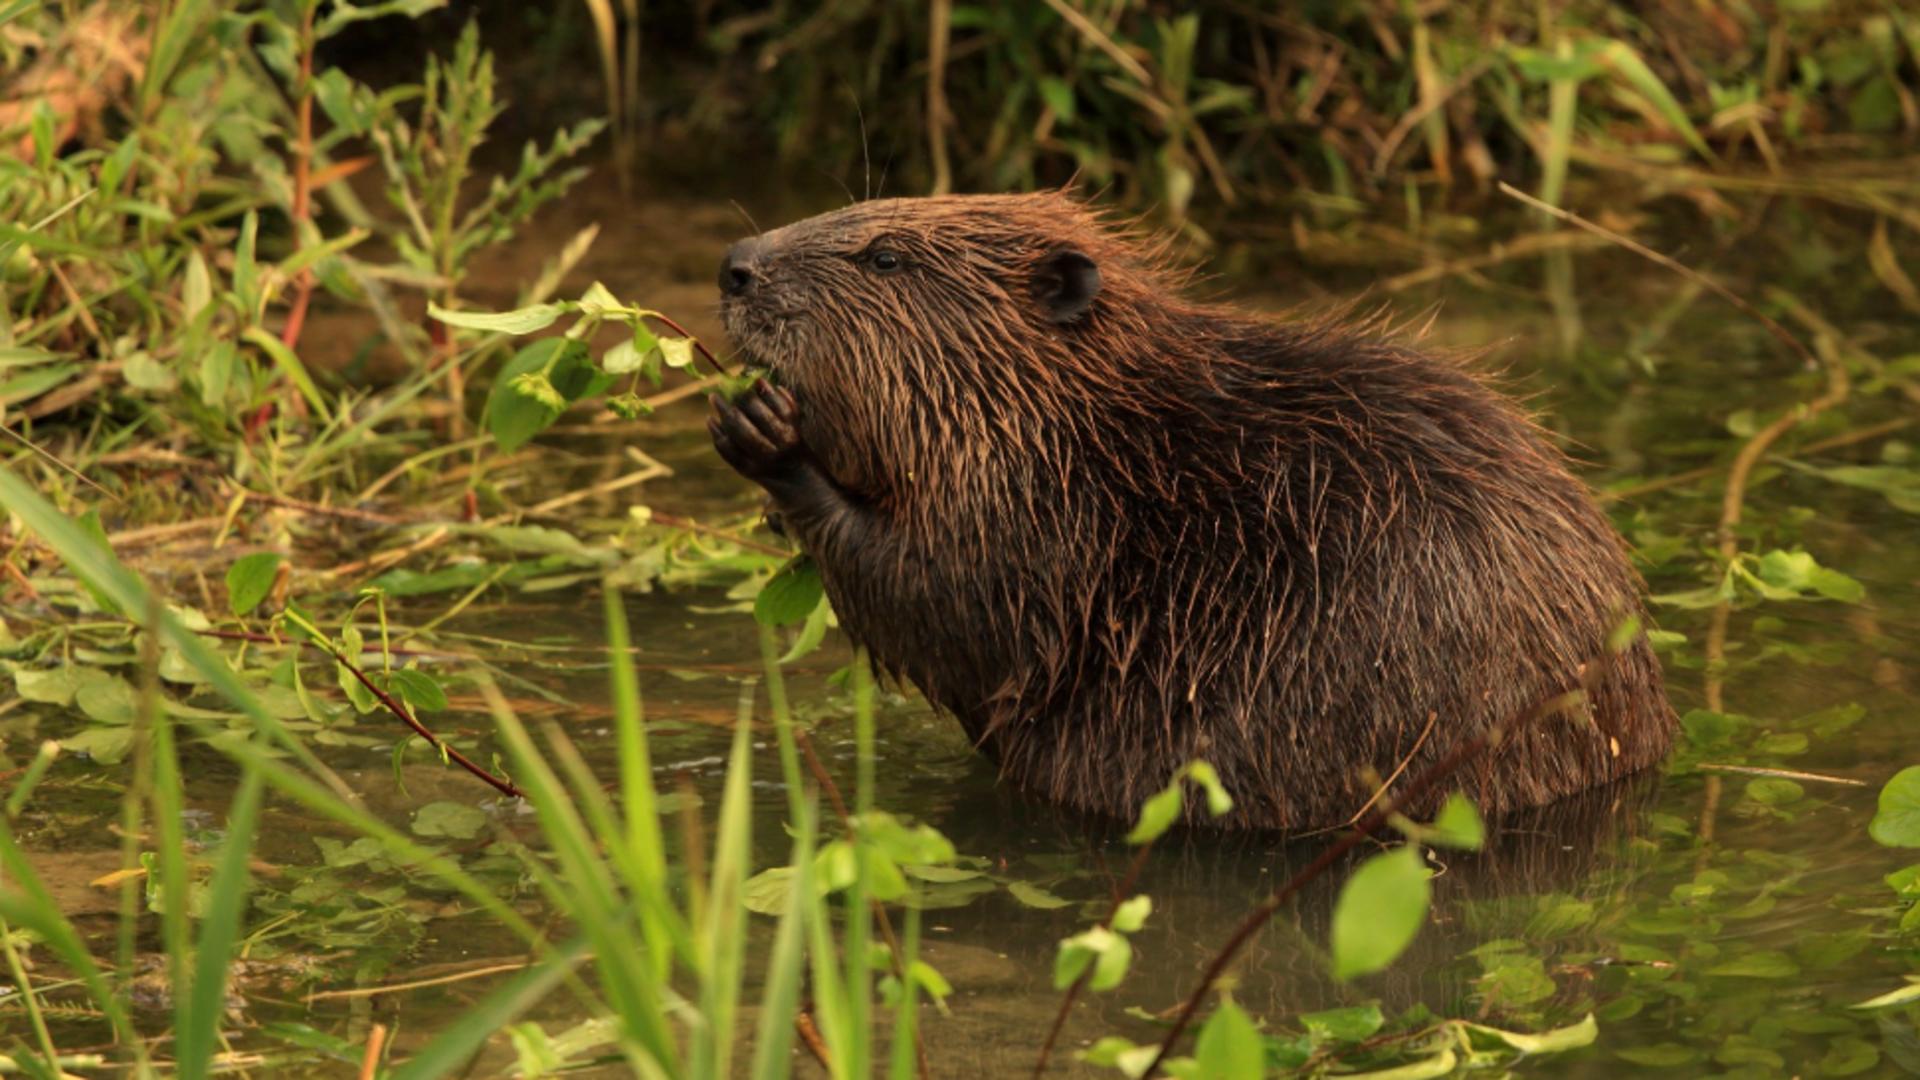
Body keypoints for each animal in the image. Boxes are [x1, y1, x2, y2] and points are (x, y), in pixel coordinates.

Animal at [702, 191, 1666, 834]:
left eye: (887, 258)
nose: (736, 263)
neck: (1094, 416)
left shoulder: (1045, 504)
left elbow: (951, 606)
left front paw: (765, 433)